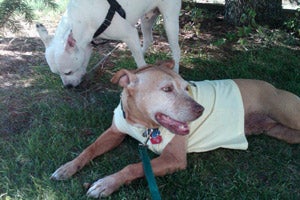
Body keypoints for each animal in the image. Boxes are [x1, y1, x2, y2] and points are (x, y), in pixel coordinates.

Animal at [35, 0, 180, 87]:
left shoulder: (130, 34)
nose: (68, 87)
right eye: (56, 74)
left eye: (68, 72)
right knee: (147, 39)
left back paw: (175, 72)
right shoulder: (86, 45)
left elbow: (140, 63)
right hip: (146, 19)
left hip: (170, 21)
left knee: (175, 49)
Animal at [49, 60, 300, 198]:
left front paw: (107, 183)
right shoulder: (115, 132)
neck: (142, 125)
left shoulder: (174, 158)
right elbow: (89, 149)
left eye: (186, 87)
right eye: (167, 89)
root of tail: (272, 86)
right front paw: (67, 167)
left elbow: (133, 166)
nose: (200, 109)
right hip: (282, 132)